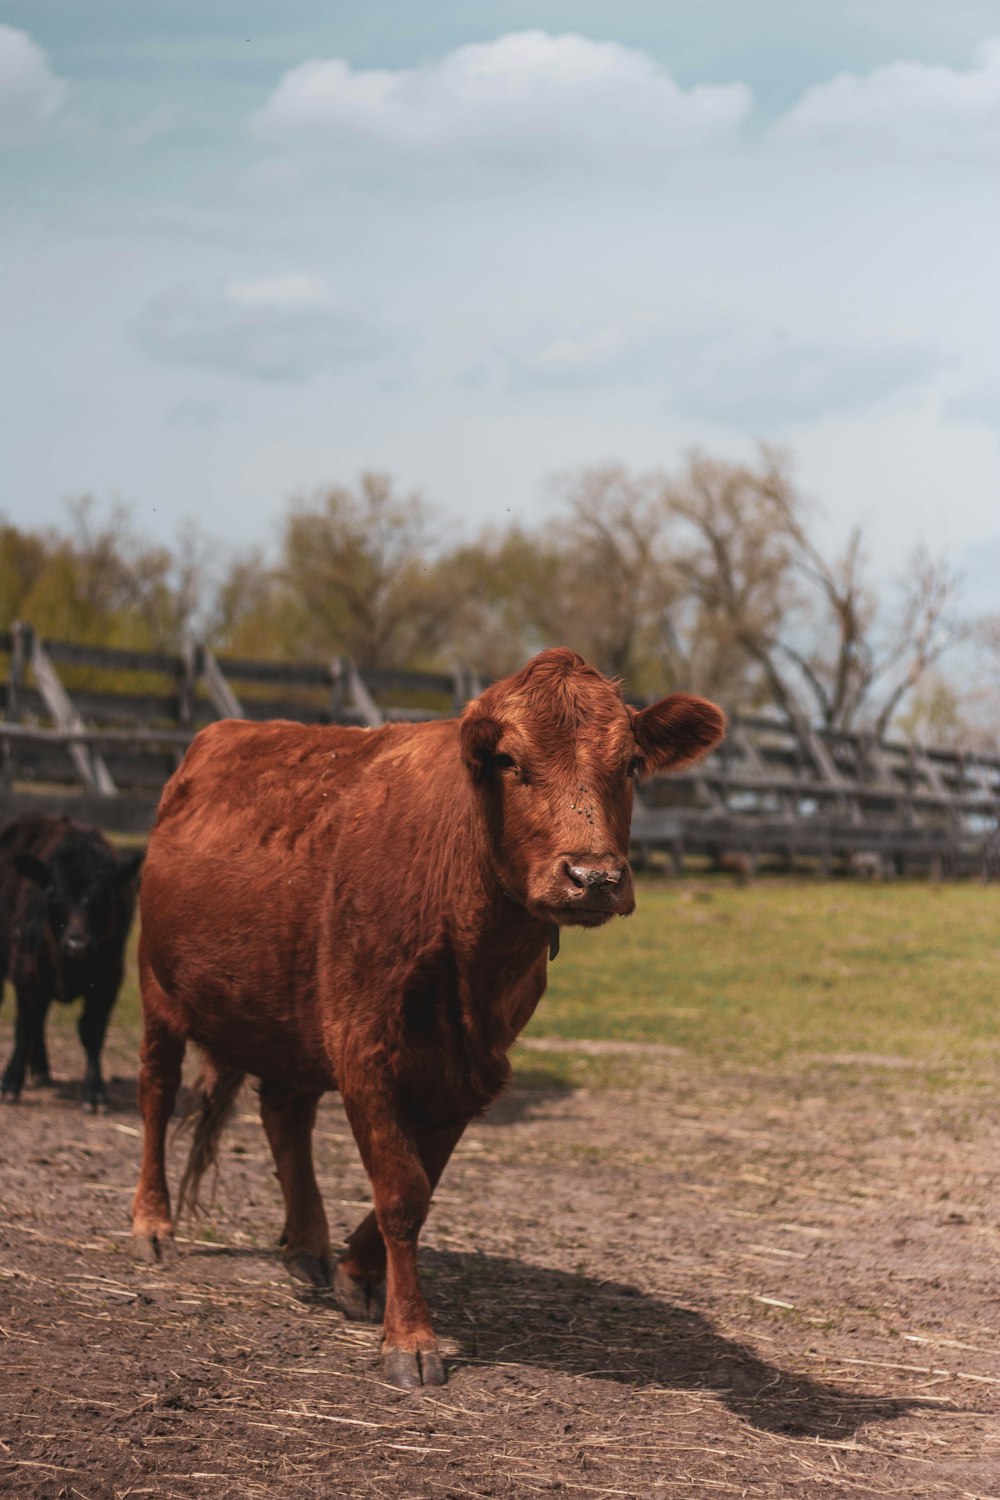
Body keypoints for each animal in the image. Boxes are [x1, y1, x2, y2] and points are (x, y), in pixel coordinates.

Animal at [0, 816, 144, 1110]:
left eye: (104, 897)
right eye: (54, 895)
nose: (77, 945)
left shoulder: (109, 978)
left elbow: (92, 1030)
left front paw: (95, 1092)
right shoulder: (27, 970)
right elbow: (24, 1025)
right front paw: (10, 1083)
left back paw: (42, 1071)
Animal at [134, 645, 728, 1380]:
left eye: (632, 764)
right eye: (508, 761)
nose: (595, 878)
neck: (468, 947)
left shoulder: (471, 1068)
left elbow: (422, 1182)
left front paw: (359, 1275)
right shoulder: (364, 1048)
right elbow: (402, 1192)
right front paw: (410, 1338)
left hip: (290, 1007)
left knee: (285, 1112)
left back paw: (307, 1246)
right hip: (158, 991)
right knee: (158, 1092)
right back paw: (152, 1225)